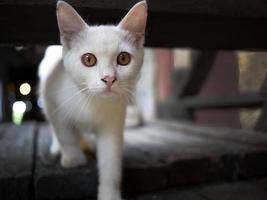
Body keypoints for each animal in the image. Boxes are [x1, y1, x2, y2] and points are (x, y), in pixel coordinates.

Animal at [38, 0, 148, 199]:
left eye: (124, 58)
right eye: (88, 59)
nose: (109, 79)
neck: (92, 102)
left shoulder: (113, 124)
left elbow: (111, 161)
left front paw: (109, 193)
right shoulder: (52, 98)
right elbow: (64, 132)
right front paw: (73, 156)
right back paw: (59, 147)